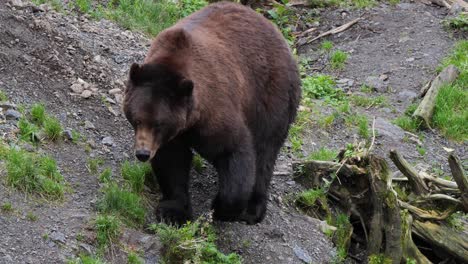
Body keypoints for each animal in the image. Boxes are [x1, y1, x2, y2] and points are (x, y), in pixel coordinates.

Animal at [123, 0, 300, 225]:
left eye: (159, 124)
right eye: (137, 120)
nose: (143, 153)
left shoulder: (214, 111)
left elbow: (234, 150)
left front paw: (221, 208)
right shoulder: (173, 134)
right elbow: (172, 162)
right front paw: (173, 211)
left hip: (272, 96)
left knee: (265, 151)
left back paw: (253, 209)